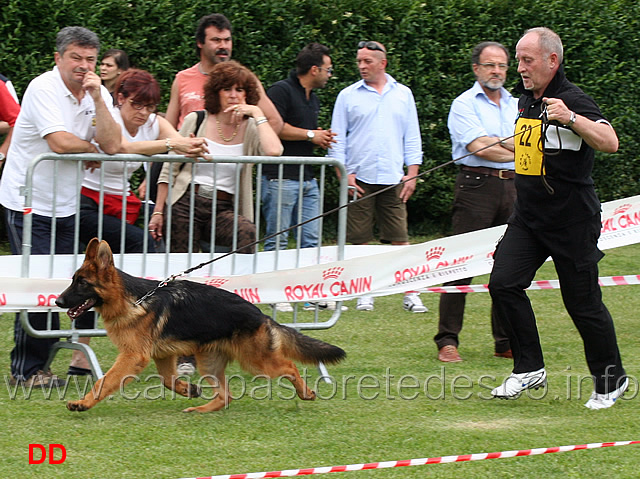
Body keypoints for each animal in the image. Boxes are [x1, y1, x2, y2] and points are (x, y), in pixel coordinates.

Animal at [56, 239, 344, 412]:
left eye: (82, 283)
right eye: (73, 280)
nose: (57, 301)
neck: (133, 299)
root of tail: (261, 315)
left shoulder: (132, 357)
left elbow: (103, 382)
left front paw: (83, 403)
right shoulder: (162, 356)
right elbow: (168, 380)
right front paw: (189, 389)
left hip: (257, 362)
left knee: (289, 367)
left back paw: (306, 394)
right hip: (210, 364)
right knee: (226, 396)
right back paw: (199, 409)